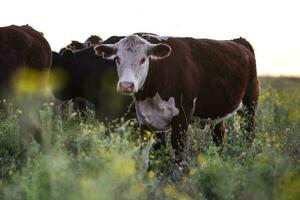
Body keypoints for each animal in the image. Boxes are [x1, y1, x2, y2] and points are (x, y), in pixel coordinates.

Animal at [95, 33, 258, 163]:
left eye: (143, 59)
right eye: (117, 59)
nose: (126, 85)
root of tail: (239, 41)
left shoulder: (182, 118)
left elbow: (178, 154)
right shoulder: (144, 122)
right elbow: (144, 157)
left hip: (250, 105)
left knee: (249, 133)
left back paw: (247, 156)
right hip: (216, 110)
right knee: (219, 135)